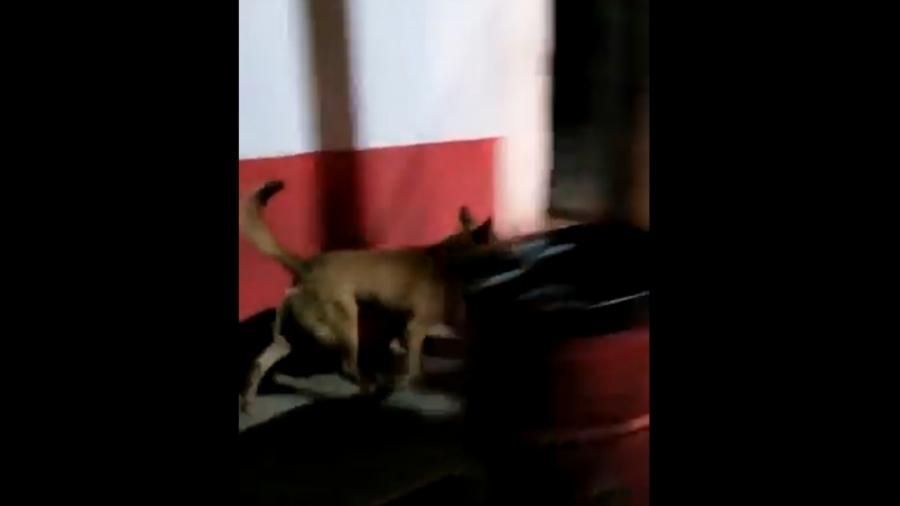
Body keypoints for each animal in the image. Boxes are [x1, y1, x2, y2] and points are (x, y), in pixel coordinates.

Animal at [239, 180, 494, 411]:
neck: (455, 259)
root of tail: (305, 265)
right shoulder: (416, 327)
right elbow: (415, 367)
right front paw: (418, 383)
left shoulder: (411, 324)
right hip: (345, 325)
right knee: (347, 365)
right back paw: (368, 387)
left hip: (290, 336)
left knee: (261, 361)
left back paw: (248, 401)